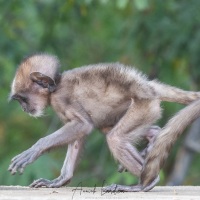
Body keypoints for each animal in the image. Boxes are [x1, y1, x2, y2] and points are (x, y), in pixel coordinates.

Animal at [8, 54, 200, 191]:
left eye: (22, 99)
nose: (24, 108)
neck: (56, 85)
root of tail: (146, 87)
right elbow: (80, 133)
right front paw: (60, 180)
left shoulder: (60, 99)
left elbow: (83, 125)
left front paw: (35, 149)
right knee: (110, 128)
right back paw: (154, 137)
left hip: (144, 105)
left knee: (114, 137)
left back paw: (145, 184)